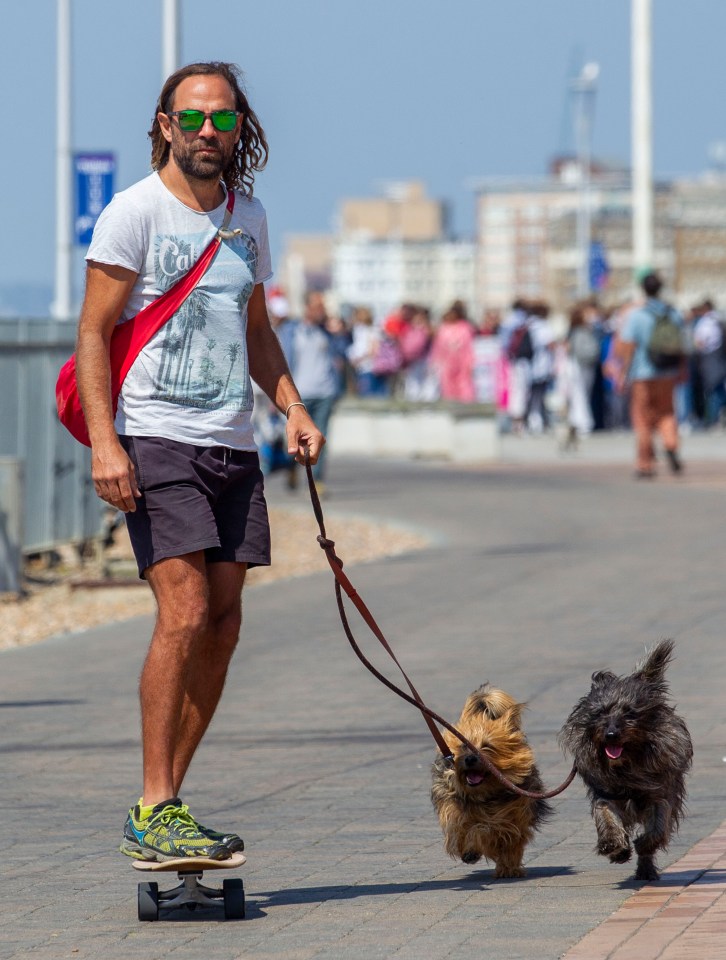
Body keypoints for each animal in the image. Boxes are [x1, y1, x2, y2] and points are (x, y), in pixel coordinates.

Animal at [560, 640, 696, 880]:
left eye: (630, 713)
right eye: (601, 712)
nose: (611, 734)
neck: (628, 764)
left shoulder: (660, 795)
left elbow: (658, 827)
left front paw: (644, 845)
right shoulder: (607, 794)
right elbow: (607, 816)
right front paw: (615, 846)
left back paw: (646, 869)